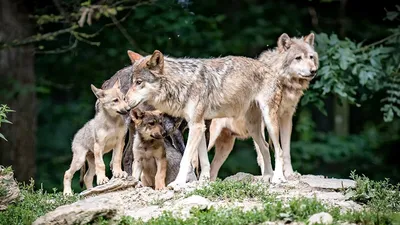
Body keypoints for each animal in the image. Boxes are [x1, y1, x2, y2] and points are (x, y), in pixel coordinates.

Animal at [123, 49, 290, 186]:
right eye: (131, 82)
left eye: (139, 82)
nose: (124, 100)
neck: (180, 84)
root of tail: (273, 71)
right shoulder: (199, 126)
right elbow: (203, 161)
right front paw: (203, 181)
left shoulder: (196, 126)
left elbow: (186, 159)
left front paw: (178, 183)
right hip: (253, 128)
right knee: (265, 148)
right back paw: (267, 177)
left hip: (269, 121)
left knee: (279, 150)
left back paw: (277, 178)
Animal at [206, 32, 318, 181]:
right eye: (298, 58)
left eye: (311, 57)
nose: (313, 71)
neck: (282, 80)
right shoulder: (263, 122)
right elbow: (263, 151)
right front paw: (269, 175)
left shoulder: (286, 118)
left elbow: (286, 150)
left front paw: (289, 174)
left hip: (226, 146)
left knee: (212, 170)